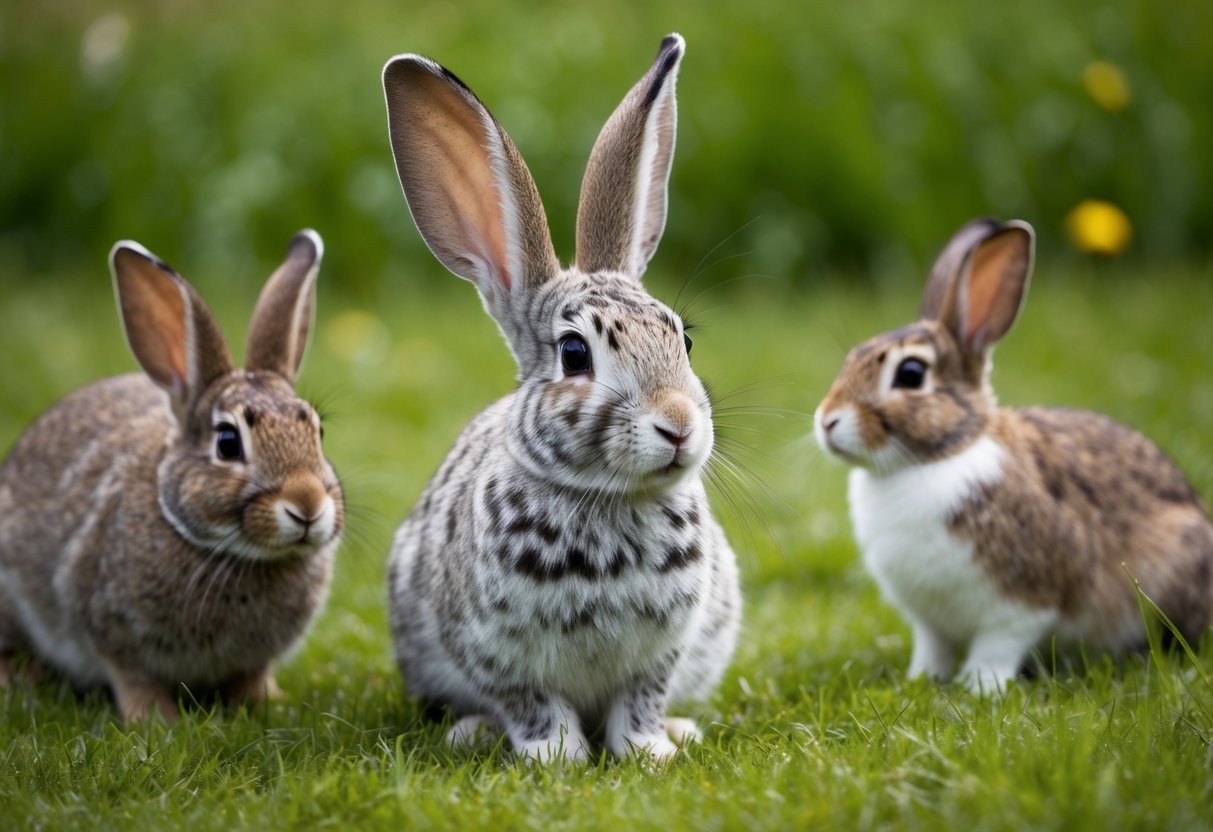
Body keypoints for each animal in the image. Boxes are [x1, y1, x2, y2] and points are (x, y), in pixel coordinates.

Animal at [0, 230, 343, 723]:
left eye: (318, 432)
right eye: (227, 443)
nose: (308, 506)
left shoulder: (254, 659)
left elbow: (252, 677)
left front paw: (267, 703)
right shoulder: (111, 629)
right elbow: (133, 678)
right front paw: (155, 720)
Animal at [382, 33, 741, 763]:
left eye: (683, 339)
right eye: (574, 354)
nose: (679, 425)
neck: (609, 501)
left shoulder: (662, 651)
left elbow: (641, 699)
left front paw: (650, 750)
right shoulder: (495, 653)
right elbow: (532, 704)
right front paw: (556, 757)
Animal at [814, 217, 1213, 693]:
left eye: (910, 374)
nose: (826, 420)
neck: (937, 457)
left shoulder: (1022, 600)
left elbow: (998, 644)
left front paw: (980, 688)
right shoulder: (929, 623)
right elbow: (933, 647)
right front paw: (922, 680)